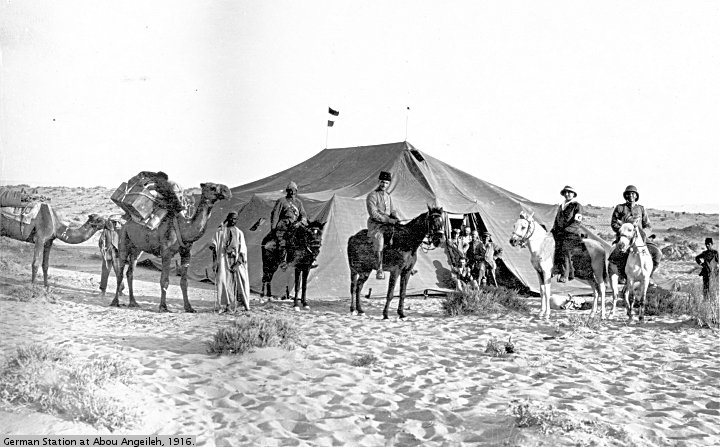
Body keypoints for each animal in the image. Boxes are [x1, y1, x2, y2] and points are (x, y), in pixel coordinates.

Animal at [110, 182, 231, 312]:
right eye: (212, 187)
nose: (227, 191)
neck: (184, 228)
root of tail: (125, 221)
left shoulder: (186, 253)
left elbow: (184, 282)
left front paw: (189, 307)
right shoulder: (166, 253)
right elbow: (164, 280)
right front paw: (163, 307)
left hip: (137, 249)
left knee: (130, 272)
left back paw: (133, 302)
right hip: (123, 240)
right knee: (120, 272)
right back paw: (115, 302)